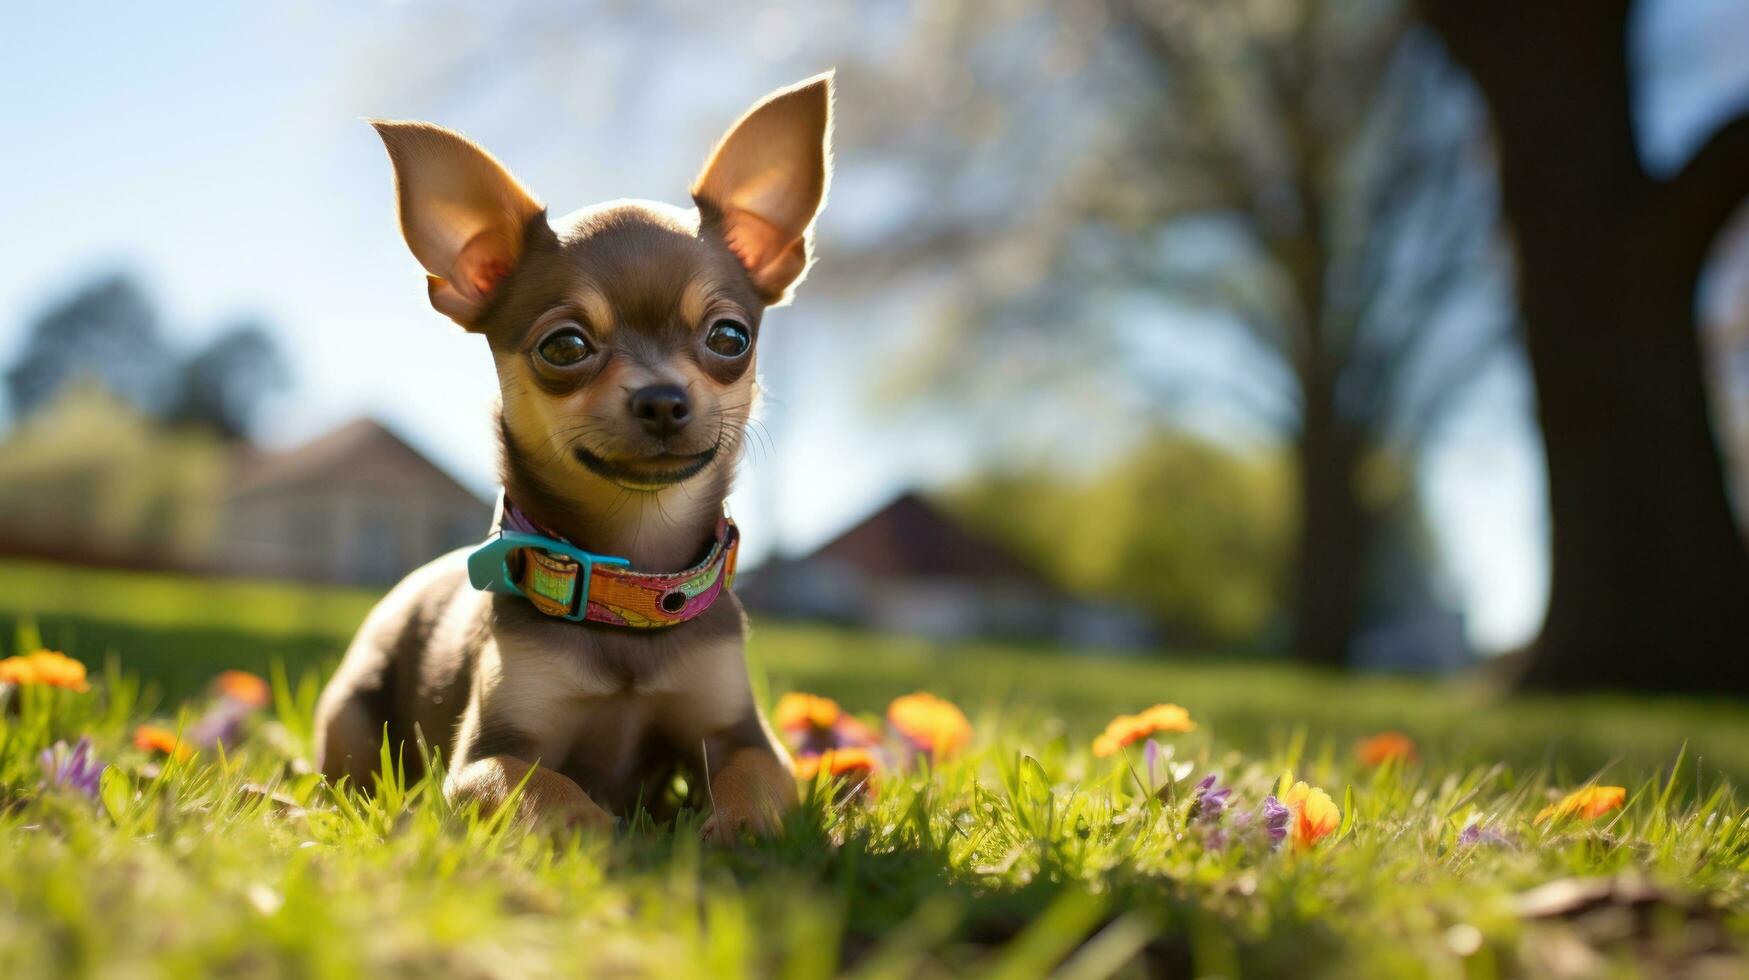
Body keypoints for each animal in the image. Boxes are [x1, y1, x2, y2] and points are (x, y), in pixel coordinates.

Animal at [314, 76, 832, 843]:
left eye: (730, 338)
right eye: (565, 347)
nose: (662, 399)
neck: (633, 586)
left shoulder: (740, 733)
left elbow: (757, 780)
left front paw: (736, 830)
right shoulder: (485, 759)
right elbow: (542, 790)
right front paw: (606, 837)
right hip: (352, 715)